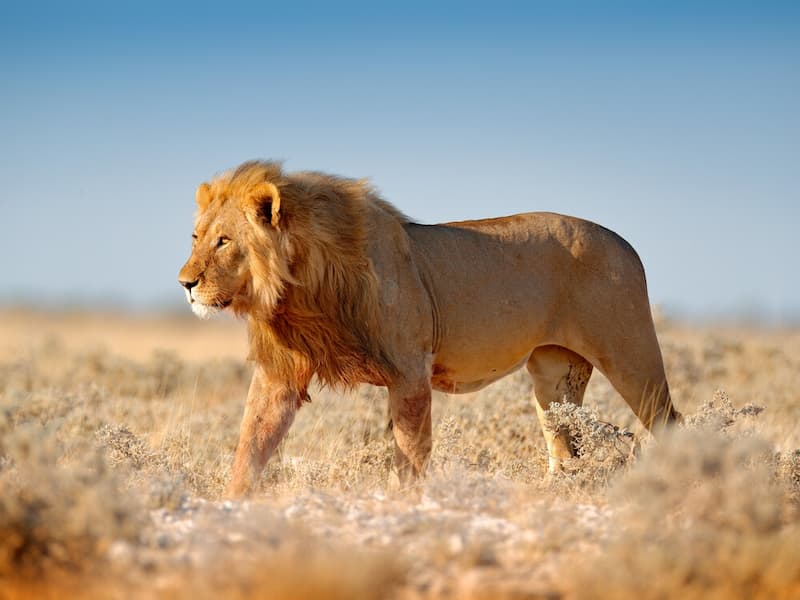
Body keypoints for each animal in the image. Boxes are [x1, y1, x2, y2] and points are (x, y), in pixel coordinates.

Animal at [178, 160, 681, 497]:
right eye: (196, 237)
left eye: (224, 241)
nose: (185, 283)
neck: (298, 290)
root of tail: (627, 244)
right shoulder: (279, 374)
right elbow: (251, 442)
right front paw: (230, 506)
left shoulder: (410, 372)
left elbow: (409, 450)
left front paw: (407, 502)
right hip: (554, 375)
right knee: (563, 444)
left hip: (631, 354)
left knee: (669, 421)